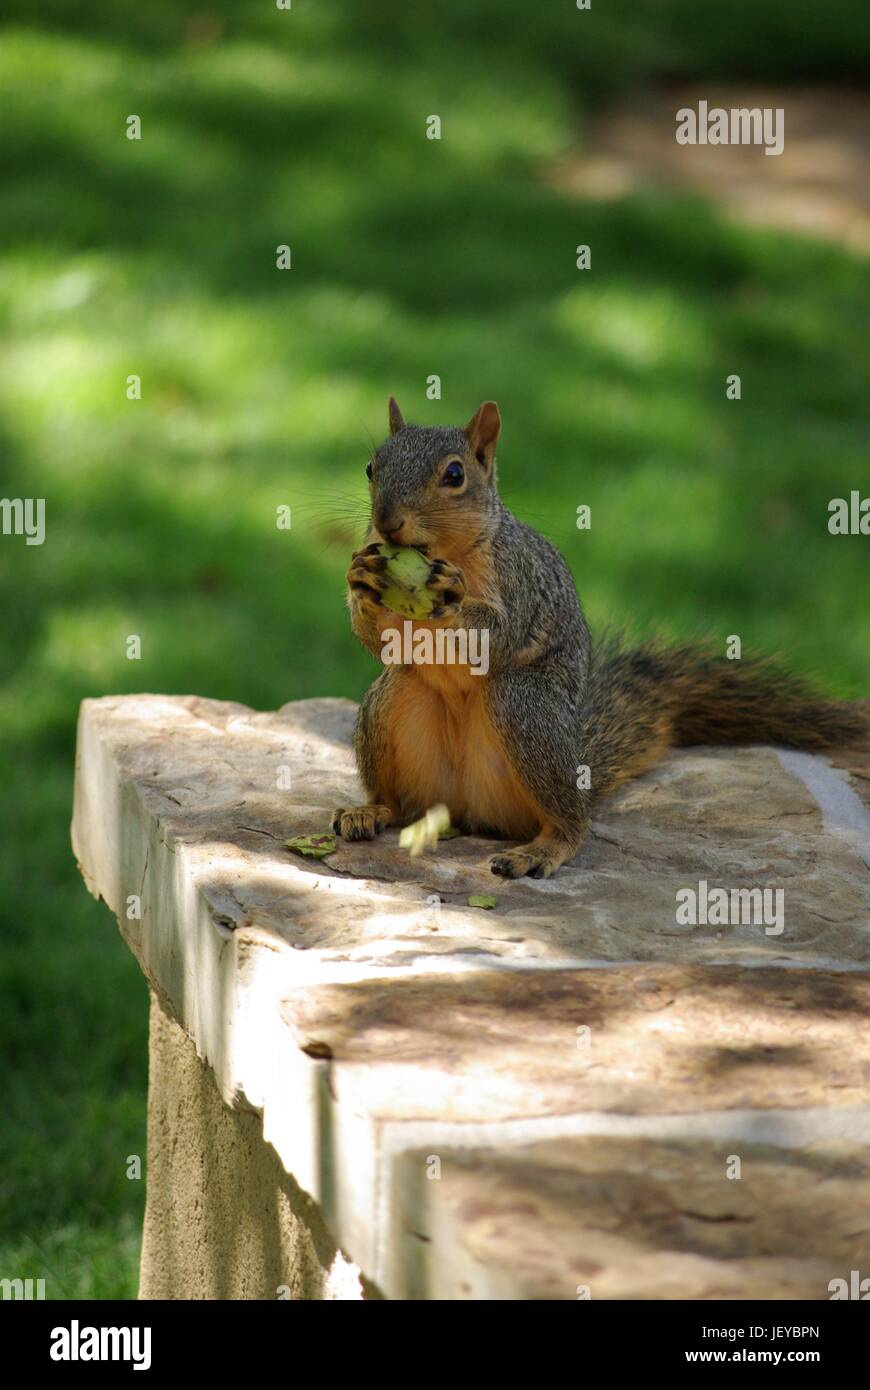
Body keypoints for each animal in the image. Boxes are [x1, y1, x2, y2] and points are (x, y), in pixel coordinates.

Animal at [332, 397, 867, 880]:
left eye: (455, 474)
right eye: (371, 466)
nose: (386, 522)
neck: (447, 550)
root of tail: (467, 810)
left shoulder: (518, 580)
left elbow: (496, 638)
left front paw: (451, 596)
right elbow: (381, 641)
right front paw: (360, 583)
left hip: (528, 709)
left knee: (572, 822)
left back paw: (542, 850)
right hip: (395, 701)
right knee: (399, 798)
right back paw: (369, 811)